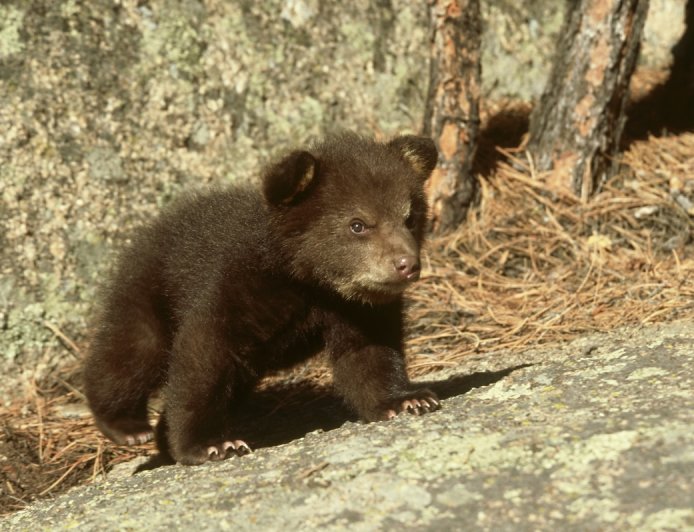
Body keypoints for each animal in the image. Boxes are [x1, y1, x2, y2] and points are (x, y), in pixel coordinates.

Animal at [83, 132, 440, 465]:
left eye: (409, 217)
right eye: (358, 224)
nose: (407, 264)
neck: (310, 282)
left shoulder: (355, 309)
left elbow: (368, 352)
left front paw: (407, 399)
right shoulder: (239, 287)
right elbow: (203, 356)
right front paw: (211, 444)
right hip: (150, 288)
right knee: (132, 350)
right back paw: (127, 425)